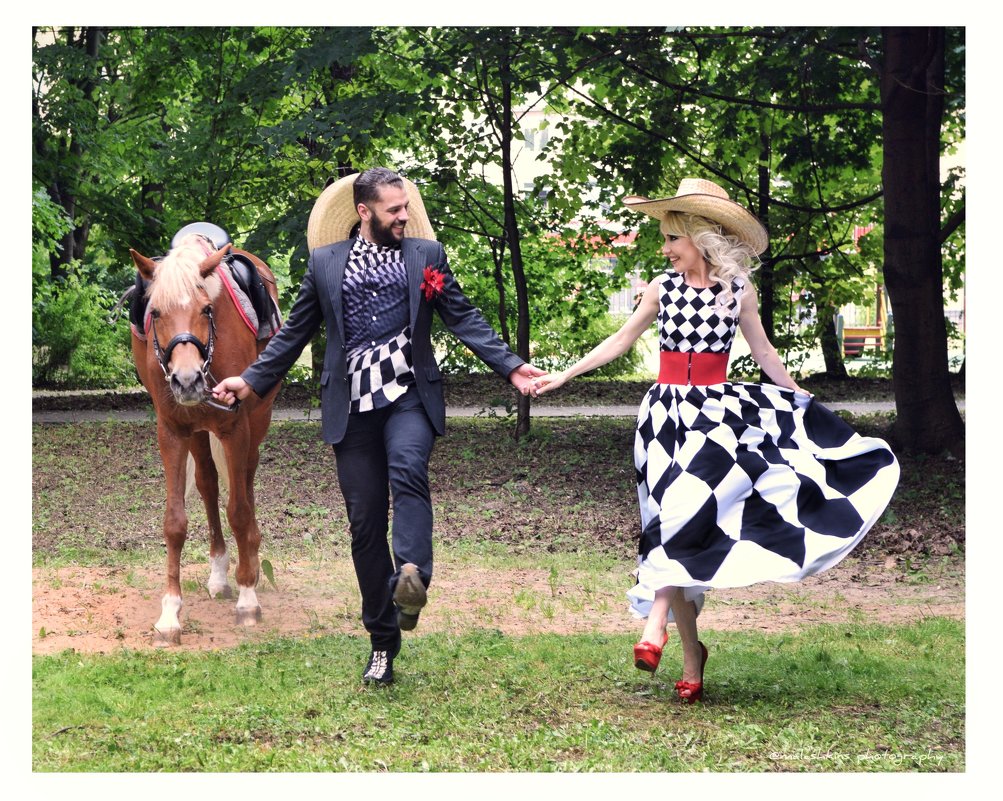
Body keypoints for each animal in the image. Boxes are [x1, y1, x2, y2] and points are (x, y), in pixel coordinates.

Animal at [128, 230, 282, 645]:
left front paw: (247, 599)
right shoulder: (172, 432)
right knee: (209, 485)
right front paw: (170, 613)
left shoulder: (235, 427)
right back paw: (219, 573)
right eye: (155, 313)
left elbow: (239, 510)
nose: (186, 380)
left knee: (245, 479)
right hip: (197, 433)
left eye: (207, 309)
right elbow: (175, 522)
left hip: (256, 421)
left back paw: (250, 561)